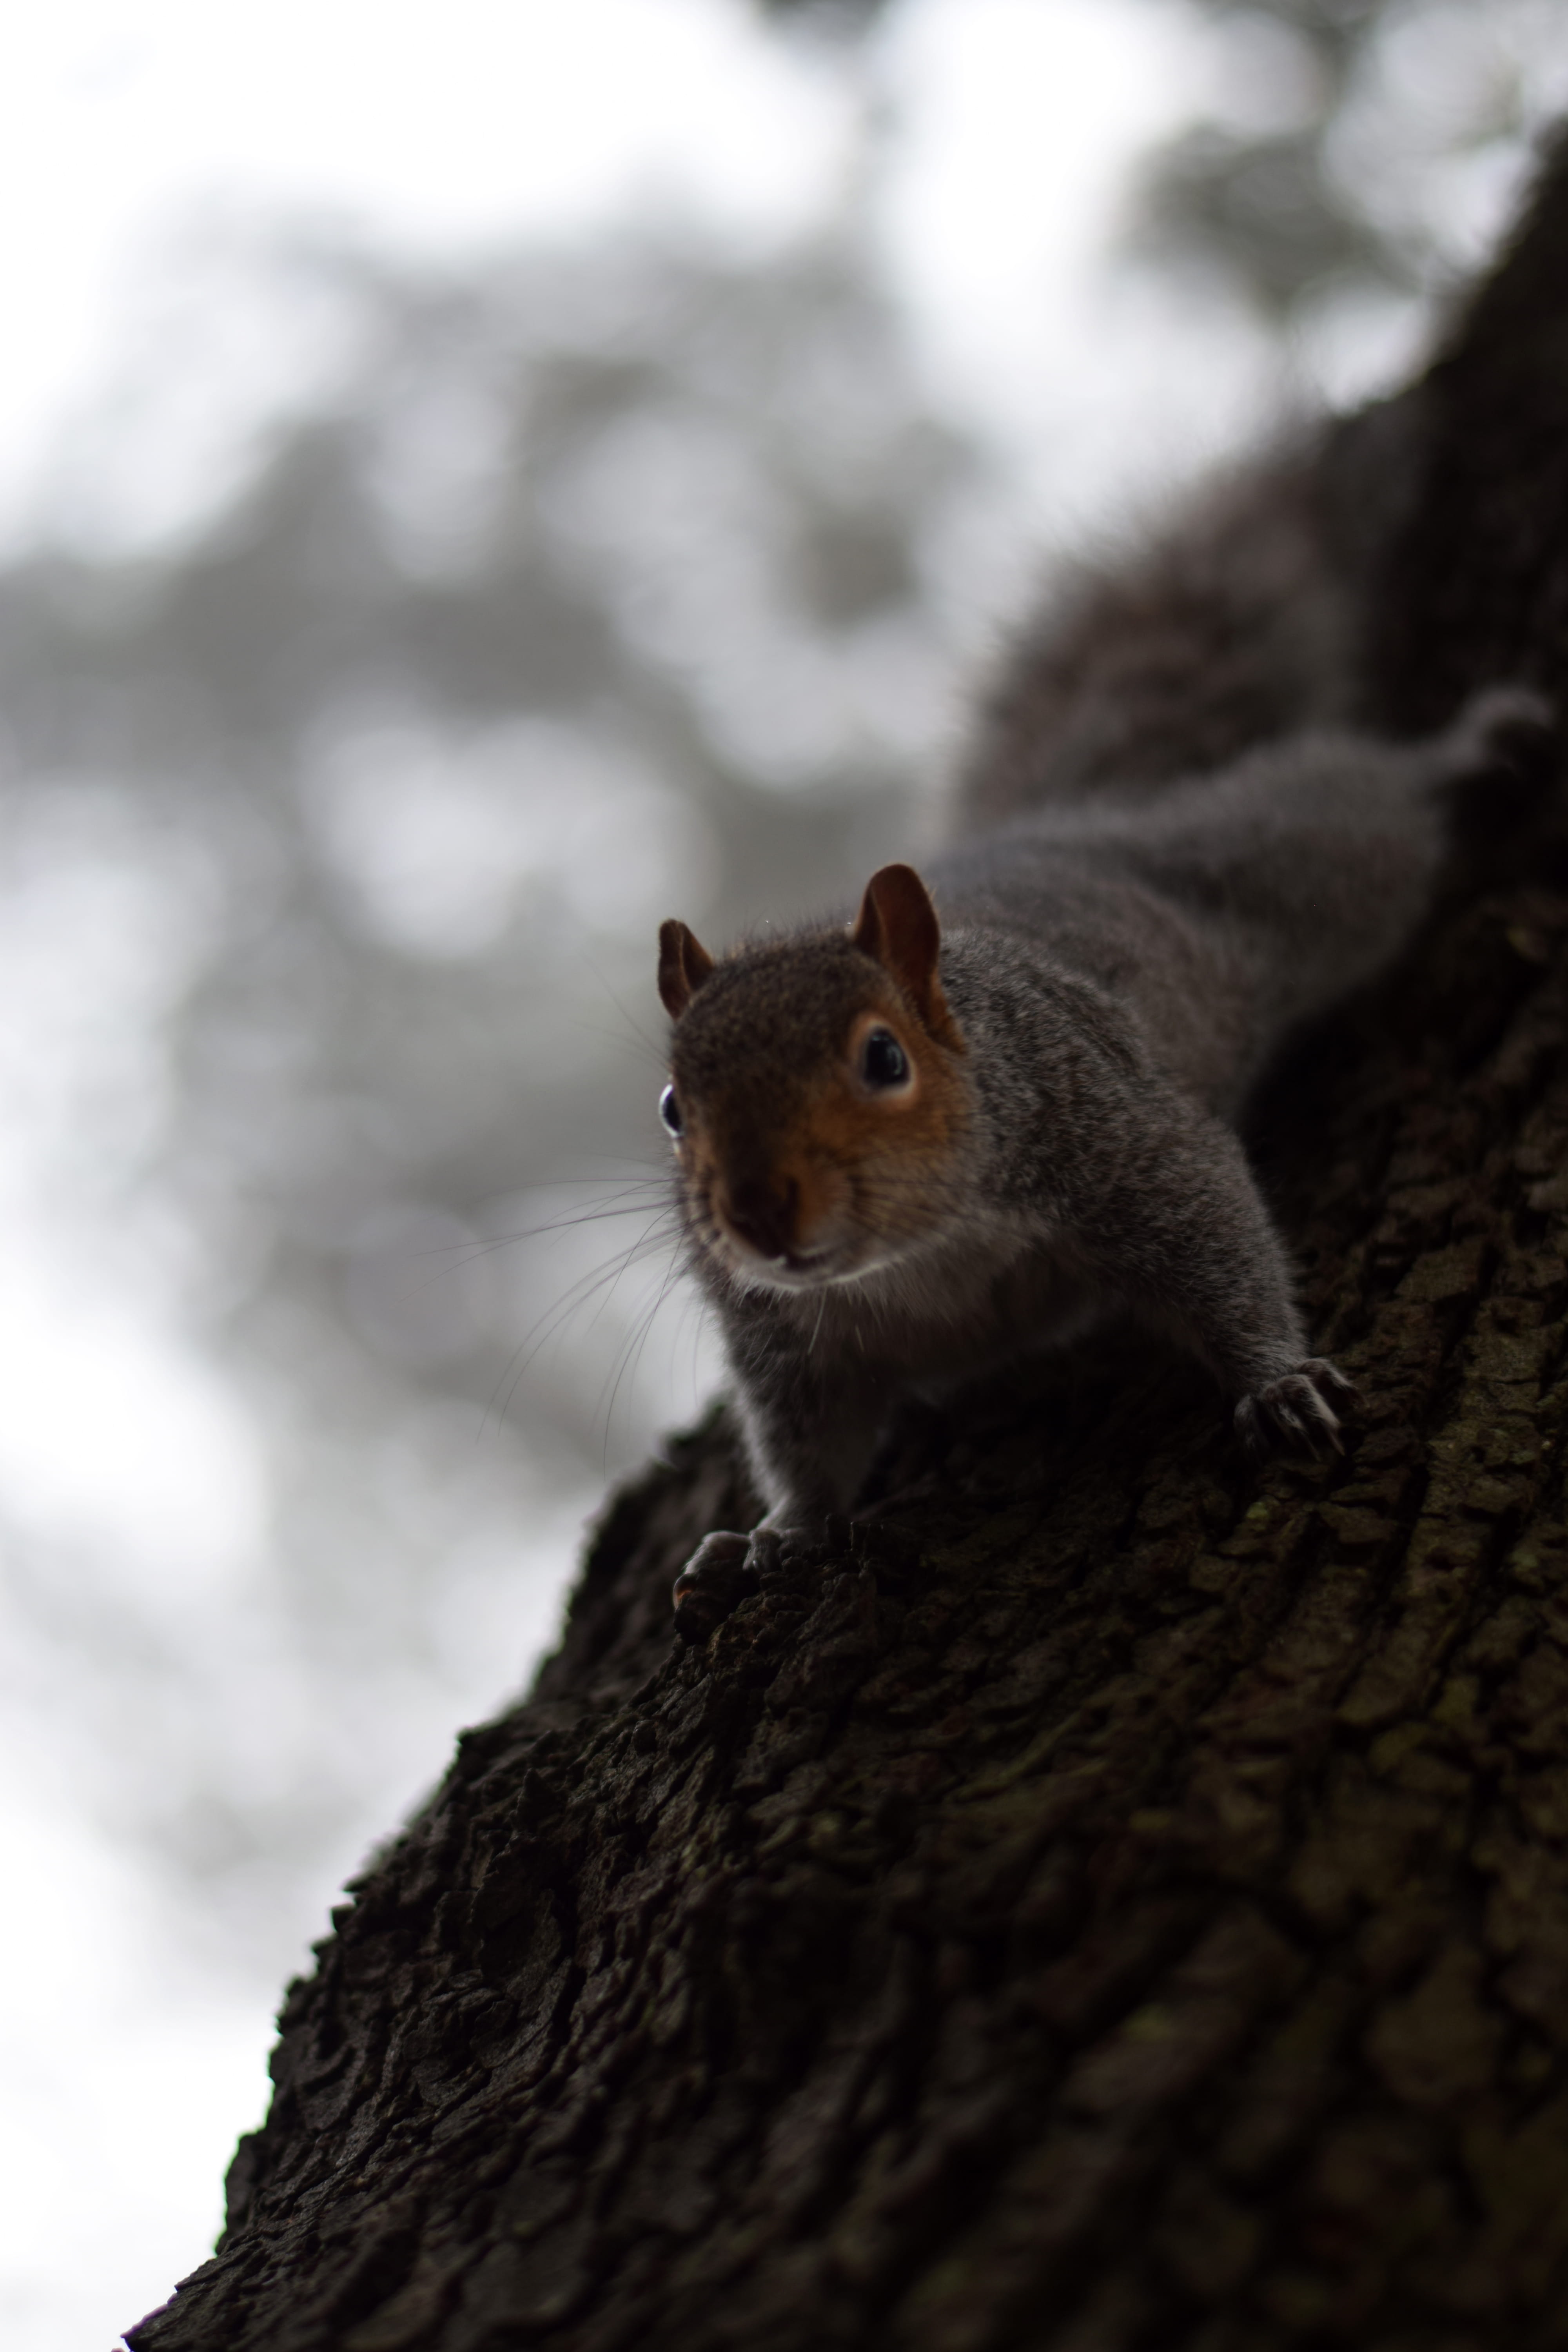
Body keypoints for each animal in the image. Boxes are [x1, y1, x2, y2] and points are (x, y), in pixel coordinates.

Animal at [651, 444, 1554, 1639]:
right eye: (672, 1110)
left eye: (885, 1060)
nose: (758, 1214)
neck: (920, 1259)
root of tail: (1065, 825)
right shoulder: (781, 1336)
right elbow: (806, 1444)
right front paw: (778, 1536)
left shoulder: (1113, 1134)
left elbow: (1217, 1238)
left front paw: (1276, 1380)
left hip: (1291, 867)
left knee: (1360, 804)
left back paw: (1471, 751)